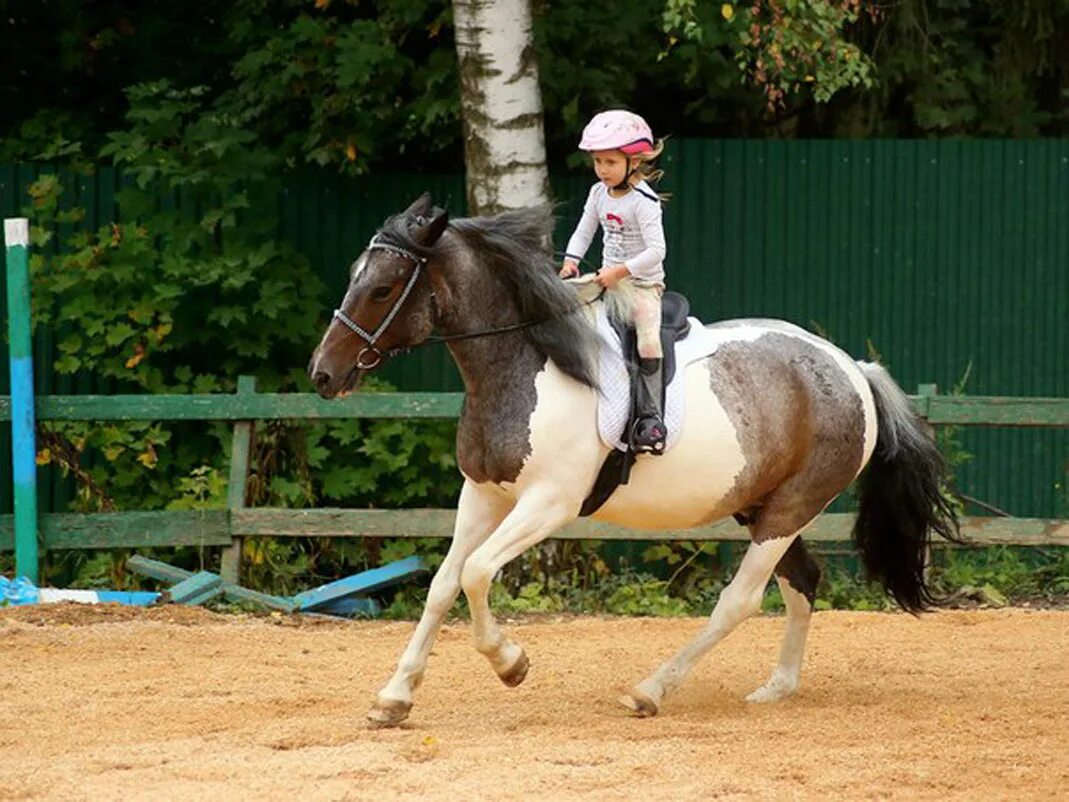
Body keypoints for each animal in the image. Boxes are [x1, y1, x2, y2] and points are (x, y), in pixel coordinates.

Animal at [307, 194, 962, 727]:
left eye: (382, 289)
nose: (322, 375)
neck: (527, 364)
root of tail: (851, 368)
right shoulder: (485, 493)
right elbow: (444, 584)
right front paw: (394, 698)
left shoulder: (548, 503)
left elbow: (475, 573)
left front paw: (511, 663)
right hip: (763, 506)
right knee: (802, 581)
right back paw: (777, 687)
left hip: (790, 509)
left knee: (739, 600)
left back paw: (650, 690)